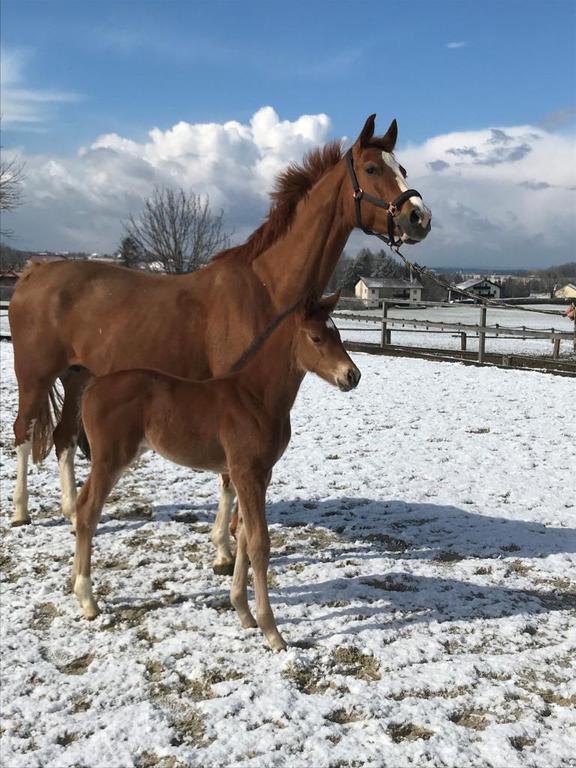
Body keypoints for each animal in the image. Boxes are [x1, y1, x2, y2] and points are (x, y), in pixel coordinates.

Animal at [9, 114, 431, 575]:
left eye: (401, 168)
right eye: (372, 169)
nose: (418, 216)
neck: (264, 287)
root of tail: (33, 272)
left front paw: (227, 545)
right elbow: (230, 479)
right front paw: (225, 554)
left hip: (78, 377)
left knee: (65, 437)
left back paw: (69, 511)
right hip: (35, 376)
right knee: (24, 432)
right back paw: (20, 512)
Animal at [71, 292, 360, 651]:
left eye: (339, 335)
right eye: (317, 338)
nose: (352, 376)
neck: (255, 397)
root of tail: (94, 384)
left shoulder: (260, 474)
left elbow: (245, 536)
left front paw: (243, 612)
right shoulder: (246, 472)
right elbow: (259, 543)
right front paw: (272, 632)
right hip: (109, 460)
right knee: (87, 511)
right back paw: (87, 600)